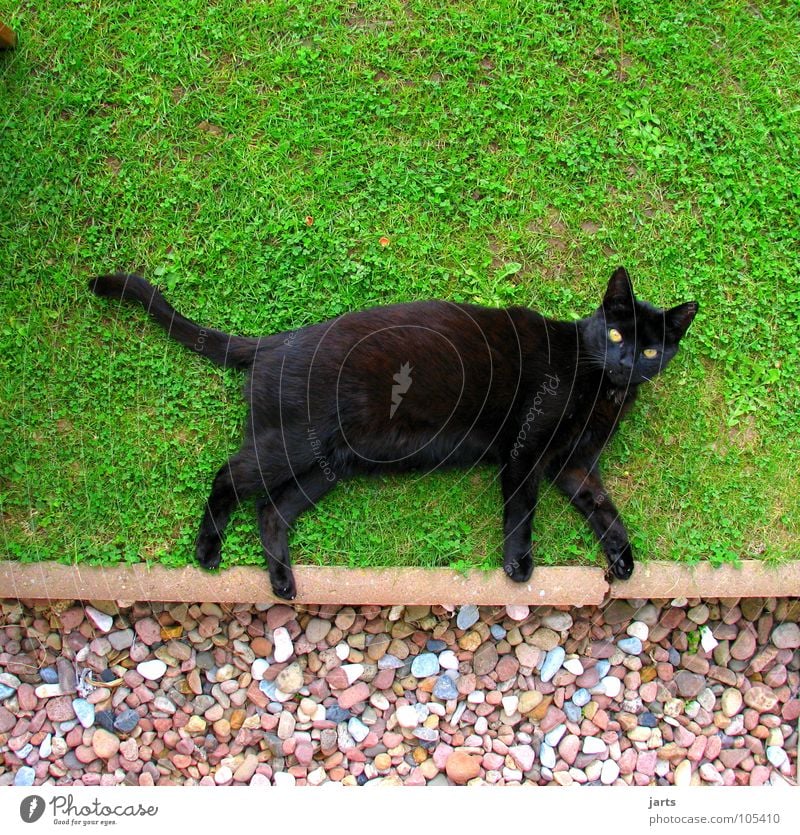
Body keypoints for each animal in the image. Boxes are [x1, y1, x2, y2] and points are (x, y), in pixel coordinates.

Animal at [90, 268, 696, 600]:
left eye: (650, 349)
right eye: (615, 333)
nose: (626, 361)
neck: (601, 389)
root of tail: (275, 341)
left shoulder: (574, 464)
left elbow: (604, 508)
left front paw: (622, 559)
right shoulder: (528, 449)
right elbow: (522, 507)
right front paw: (519, 566)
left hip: (328, 465)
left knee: (271, 509)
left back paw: (283, 581)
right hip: (292, 444)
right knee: (229, 475)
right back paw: (207, 550)